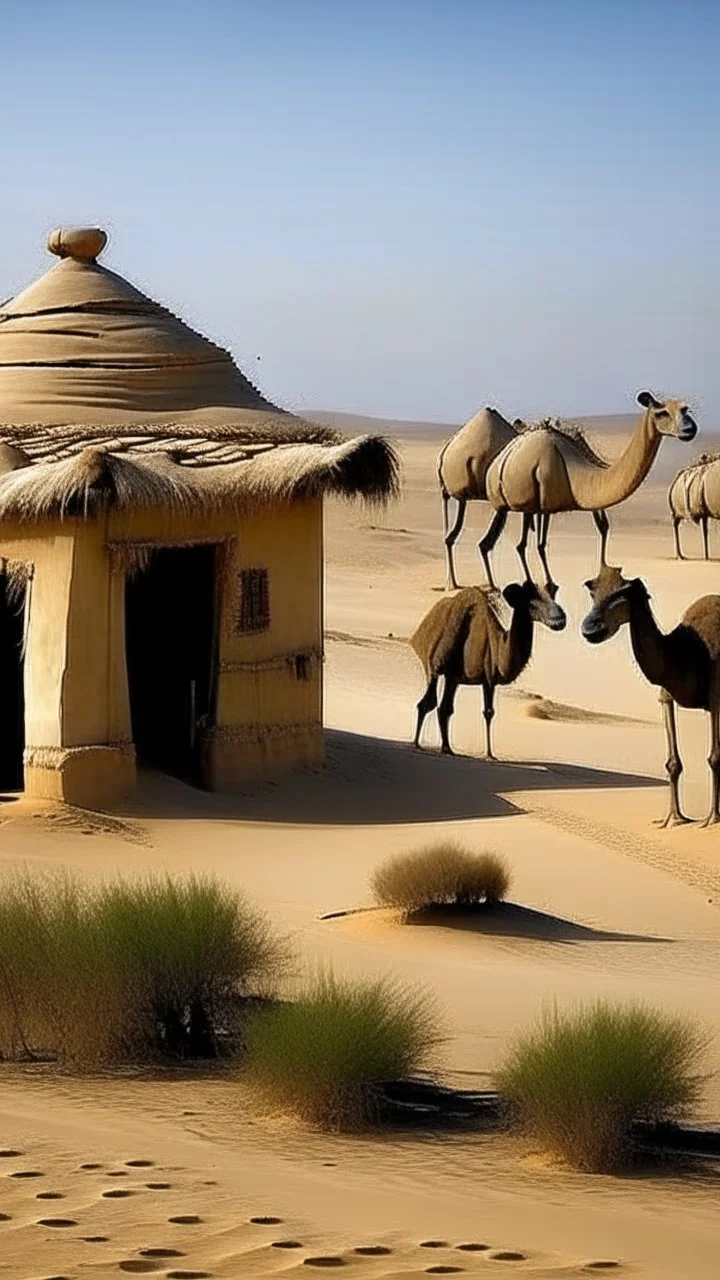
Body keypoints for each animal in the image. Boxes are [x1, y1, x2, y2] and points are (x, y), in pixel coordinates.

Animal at [407, 581, 563, 757]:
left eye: (553, 594)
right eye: (532, 602)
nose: (560, 619)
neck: (498, 645)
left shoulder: (474, 678)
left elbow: (477, 711)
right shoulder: (488, 677)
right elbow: (488, 712)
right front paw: (489, 753)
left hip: (452, 677)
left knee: (443, 707)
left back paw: (446, 748)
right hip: (437, 666)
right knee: (428, 702)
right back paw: (418, 743)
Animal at [430, 404, 515, 588]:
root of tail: (442, 458)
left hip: (460, 496)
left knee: (450, 538)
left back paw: (453, 583)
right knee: (481, 542)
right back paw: (487, 583)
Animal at [479, 391, 696, 586]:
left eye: (686, 409)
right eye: (662, 413)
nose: (690, 429)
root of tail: (497, 465)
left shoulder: (543, 508)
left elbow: (599, 529)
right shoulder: (545, 506)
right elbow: (540, 546)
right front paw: (549, 583)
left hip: (513, 507)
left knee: (495, 544)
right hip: (511, 505)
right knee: (505, 544)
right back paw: (496, 585)